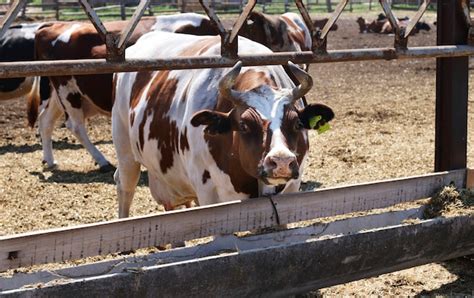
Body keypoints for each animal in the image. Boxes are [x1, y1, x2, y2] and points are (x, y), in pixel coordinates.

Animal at [112, 31, 334, 218]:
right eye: (244, 125)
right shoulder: (208, 194)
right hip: (124, 149)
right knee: (125, 185)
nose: (281, 162)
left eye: (296, 123)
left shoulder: (291, 187)